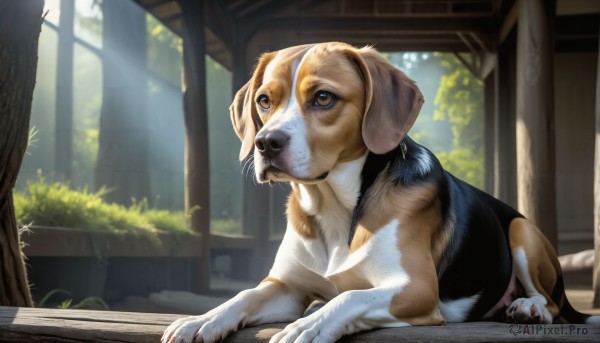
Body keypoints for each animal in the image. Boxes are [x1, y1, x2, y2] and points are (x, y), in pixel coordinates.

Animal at [162, 42, 596, 343]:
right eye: (264, 101)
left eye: (323, 97)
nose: (265, 144)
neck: (335, 206)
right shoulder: (284, 288)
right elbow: (243, 296)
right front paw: (202, 320)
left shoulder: (415, 289)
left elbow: (350, 297)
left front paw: (307, 326)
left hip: (522, 231)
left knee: (552, 303)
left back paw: (527, 307)